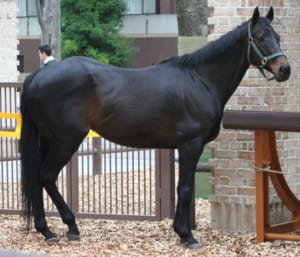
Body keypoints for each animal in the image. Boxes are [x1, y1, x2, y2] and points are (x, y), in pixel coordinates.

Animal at [21, 7, 290, 248]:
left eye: (277, 36)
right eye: (260, 37)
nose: (284, 69)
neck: (200, 80)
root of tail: (37, 76)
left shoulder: (186, 147)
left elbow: (183, 188)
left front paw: (180, 231)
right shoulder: (190, 144)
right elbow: (185, 188)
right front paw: (186, 236)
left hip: (49, 141)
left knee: (36, 179)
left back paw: (47, 230)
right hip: (66, 141)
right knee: (47, 176)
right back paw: (67, 226)